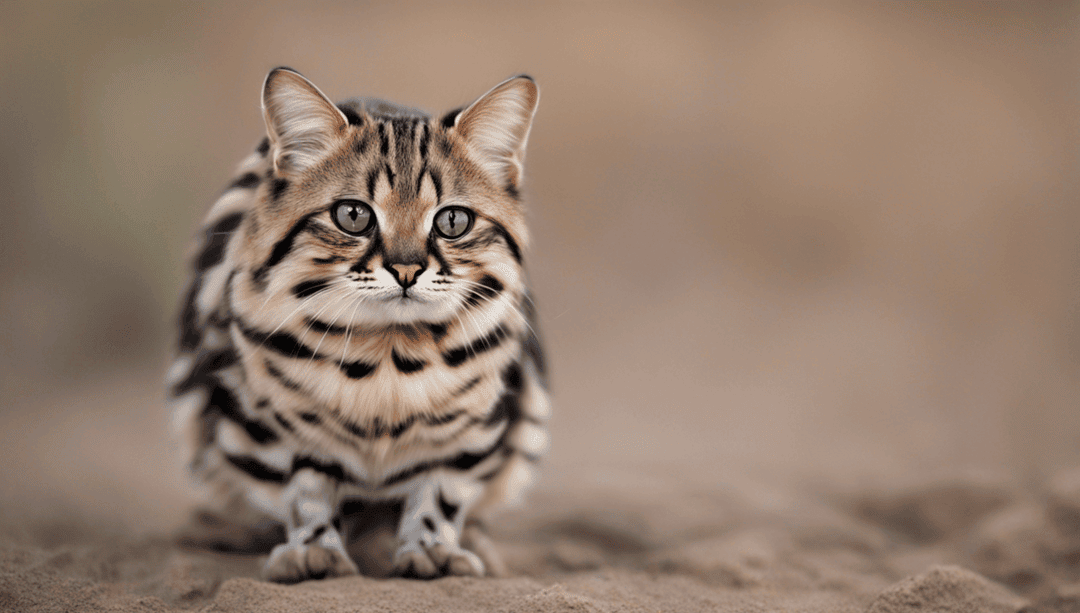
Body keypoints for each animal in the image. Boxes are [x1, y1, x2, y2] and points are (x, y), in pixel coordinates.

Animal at [171, 69, 552, 582]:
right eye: (353, 215)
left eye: (453, 220)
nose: (407, 270)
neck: (388, 358)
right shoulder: (277, 425)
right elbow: (307, 491)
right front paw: (314, 550)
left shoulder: (474, 430)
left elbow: (439, 490)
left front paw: (432, 548)